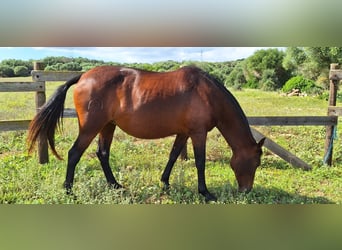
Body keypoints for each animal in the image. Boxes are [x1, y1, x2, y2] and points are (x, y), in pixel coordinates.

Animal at [28, 65, 266, 202]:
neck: (207, 93)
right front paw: (205, 193)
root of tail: (83, 76)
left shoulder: (183, 133)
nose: (247, 191)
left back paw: (115, 185)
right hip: (91, 128)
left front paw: (165, 183)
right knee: (74, 153)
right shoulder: (198, 133)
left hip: (107, 126)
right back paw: (69, 191)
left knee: (102, 154)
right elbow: (200, 162)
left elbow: (173, 155)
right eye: (255, 163)